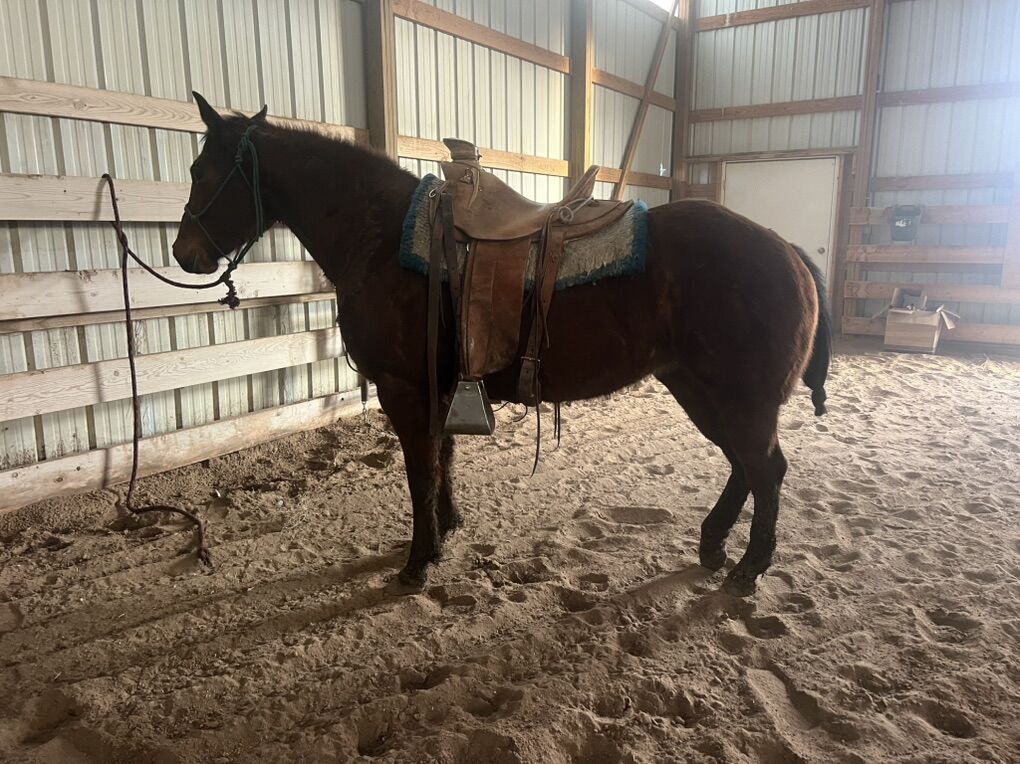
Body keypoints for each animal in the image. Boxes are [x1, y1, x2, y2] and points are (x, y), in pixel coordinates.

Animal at [171, 93, 831, 596]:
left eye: (202, 172)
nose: (184, 253)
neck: (382, 239)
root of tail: (786, 249)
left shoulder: (404, 389)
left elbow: (420, 470)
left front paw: (419, 561)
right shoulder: (437, 386)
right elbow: (441, 460)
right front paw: (447, 530)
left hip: (740, 398)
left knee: (765, 469)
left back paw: (748, 568)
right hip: (701, 388)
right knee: (744, 466)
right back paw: (715, 545)